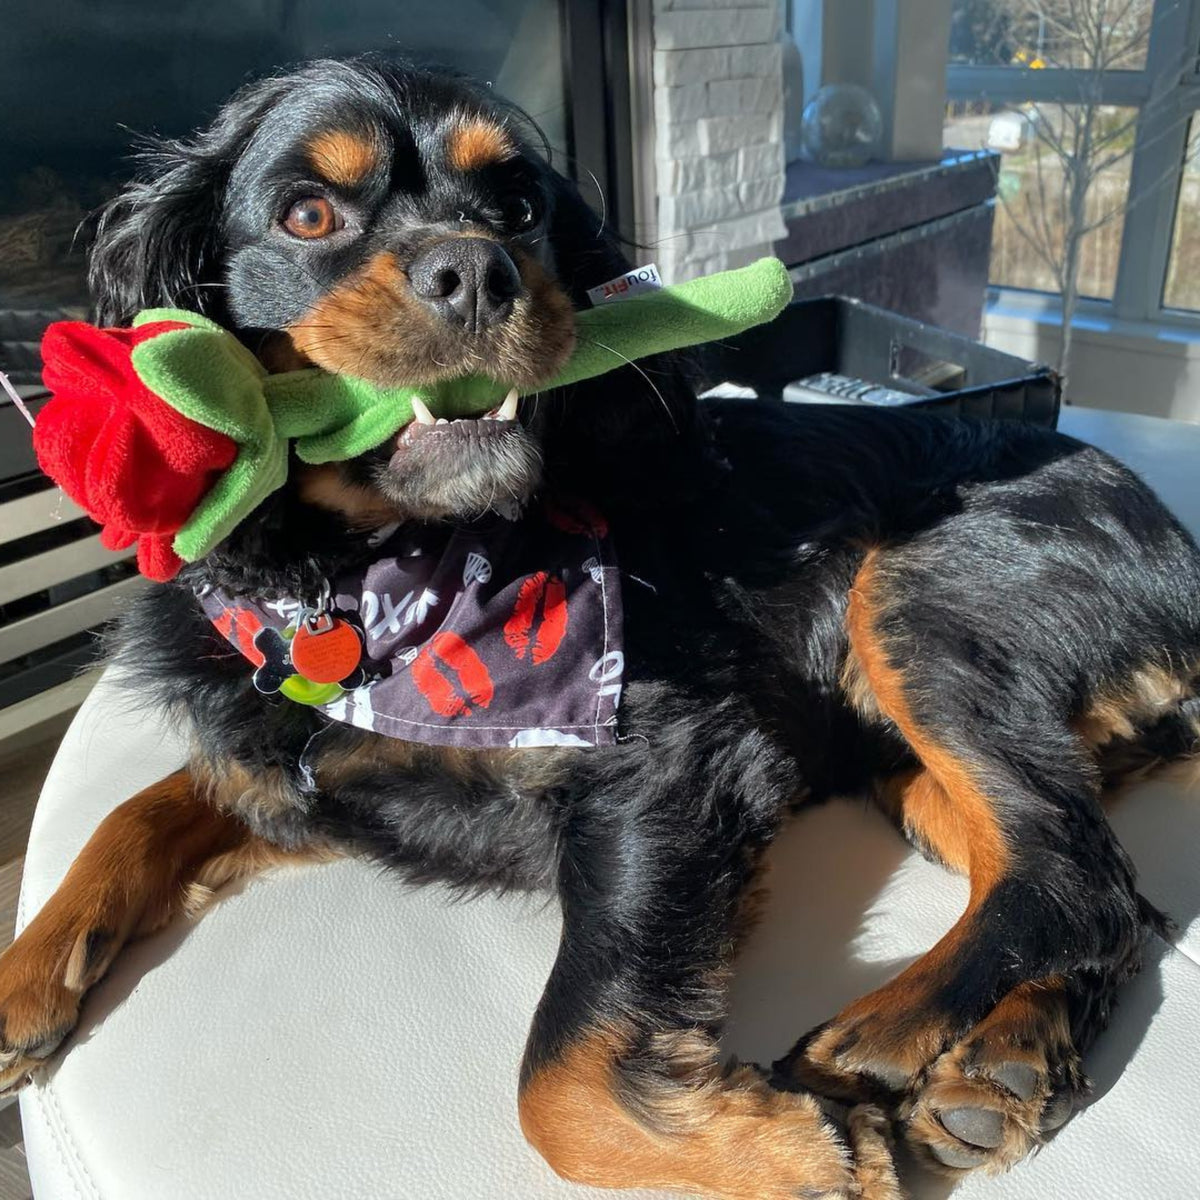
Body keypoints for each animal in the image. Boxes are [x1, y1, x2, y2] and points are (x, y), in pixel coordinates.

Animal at [2, 56, 1200, 1200]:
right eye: (307, 214)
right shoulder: (297, 769)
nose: (477, 270)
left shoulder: (668, 770)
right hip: (904, 758)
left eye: (520, 207)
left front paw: (797, 1159)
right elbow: (142, 807)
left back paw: (887, 1036)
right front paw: (26, 978)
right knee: (1110, 894)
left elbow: (558, 1086)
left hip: (911, 597)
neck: (368, 587)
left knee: (1068, 869)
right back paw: (1001, 1071)